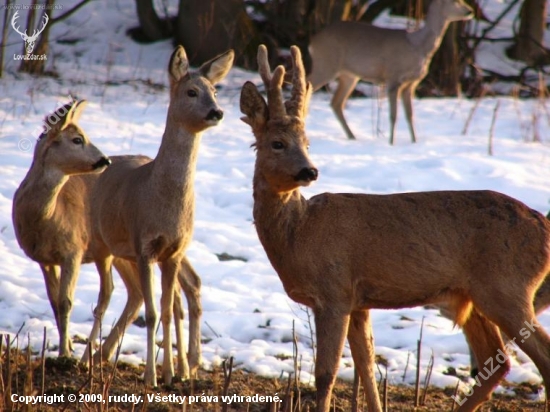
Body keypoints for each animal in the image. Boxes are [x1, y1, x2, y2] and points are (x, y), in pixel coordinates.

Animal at [12, 100, 111, 358]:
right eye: (77, 139)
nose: (105, 160)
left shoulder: (74, 251)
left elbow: (66, 302)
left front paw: (65, 355)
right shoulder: (44, 259)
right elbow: (55, 302)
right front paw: (67, 348)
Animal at [89, 46, 235, 388]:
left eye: (215, 91)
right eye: (191, 91)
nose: (217, 112)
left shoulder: (173, 251)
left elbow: (168, 311)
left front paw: (169, 373)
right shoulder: (145, 247)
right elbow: (154, 312)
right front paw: (151, 377)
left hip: (128, 252)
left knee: (156, 295)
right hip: (101, 243)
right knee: (104, 297)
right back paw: (88, 356)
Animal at [242, 43, 550, 410]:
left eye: (307, 142)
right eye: (277, 143)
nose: (309, 171)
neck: (299, 236)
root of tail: (544, 226)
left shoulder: (334, 292)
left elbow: (326, 373)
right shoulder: (358, 301)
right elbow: (366, 367)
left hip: (507, 288)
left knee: (539, 356)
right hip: (473, 296)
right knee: (497, 361)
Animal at [310, 0, 474, 145]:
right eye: (455, 0)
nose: (470, 11)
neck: (418, 46)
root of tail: (312, 42)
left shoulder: (411, 84)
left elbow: (410, 115)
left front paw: (414, 142)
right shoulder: (393, 77)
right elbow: (393, 115)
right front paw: (391, 143)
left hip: (349, 75)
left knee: (336, 103)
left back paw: (352, 137)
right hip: (325, 65)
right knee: (309, 87)